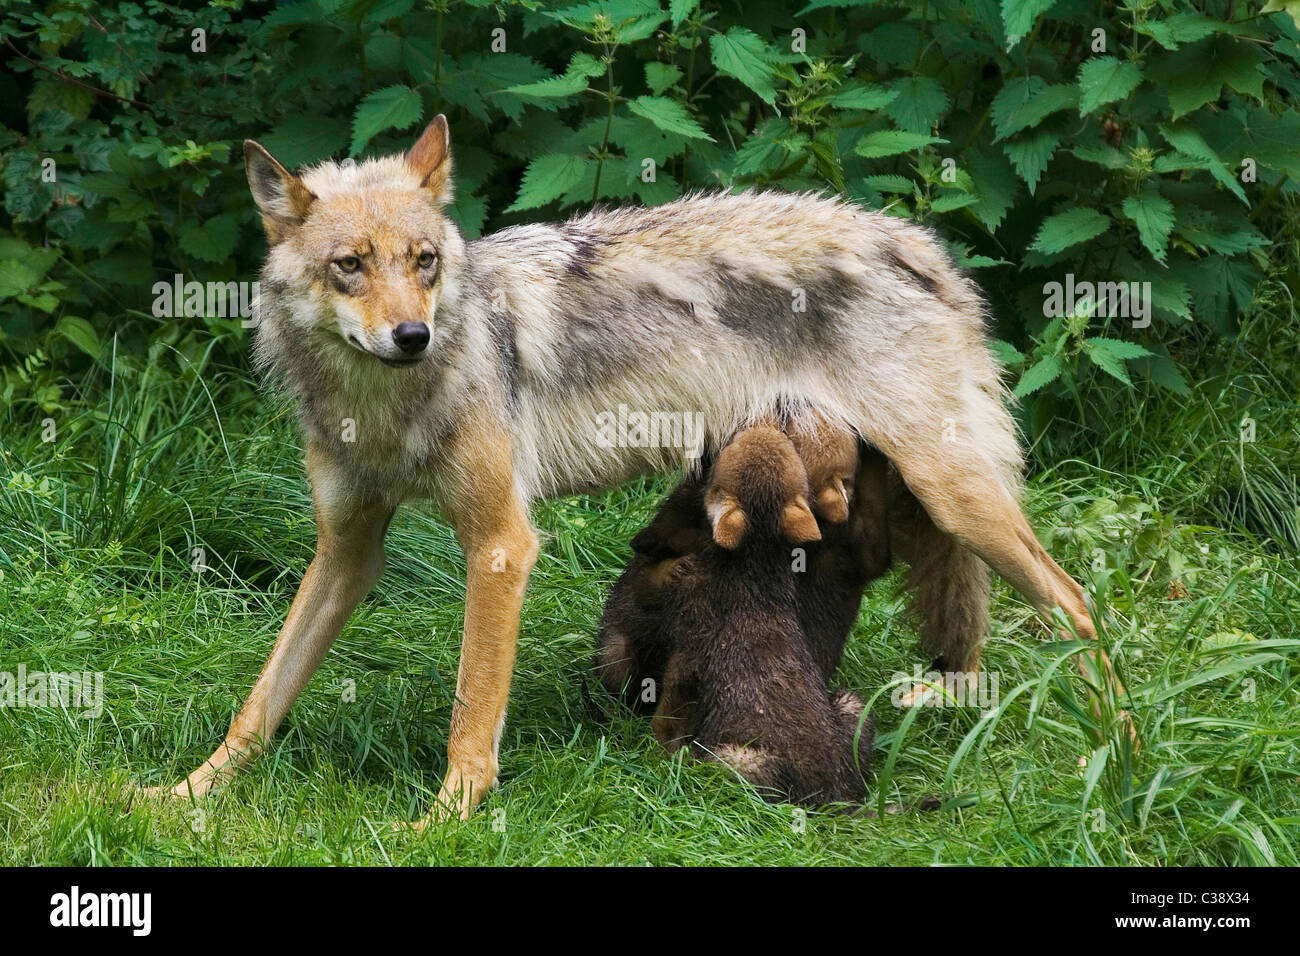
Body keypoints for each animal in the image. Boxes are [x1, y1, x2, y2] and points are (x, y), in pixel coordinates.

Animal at [147, 117, 1123, 822]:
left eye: (423, 262)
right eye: (350, 266)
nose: (412, 334)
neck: (385, 406)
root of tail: (920, 245)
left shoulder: (502, 546)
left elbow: (472, 711)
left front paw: (446, 821)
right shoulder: (346, 552)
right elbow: (262, 698)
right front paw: (185, 794)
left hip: (959, 502)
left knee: (1079, 607)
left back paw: (1107, 752)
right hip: (922, 506)